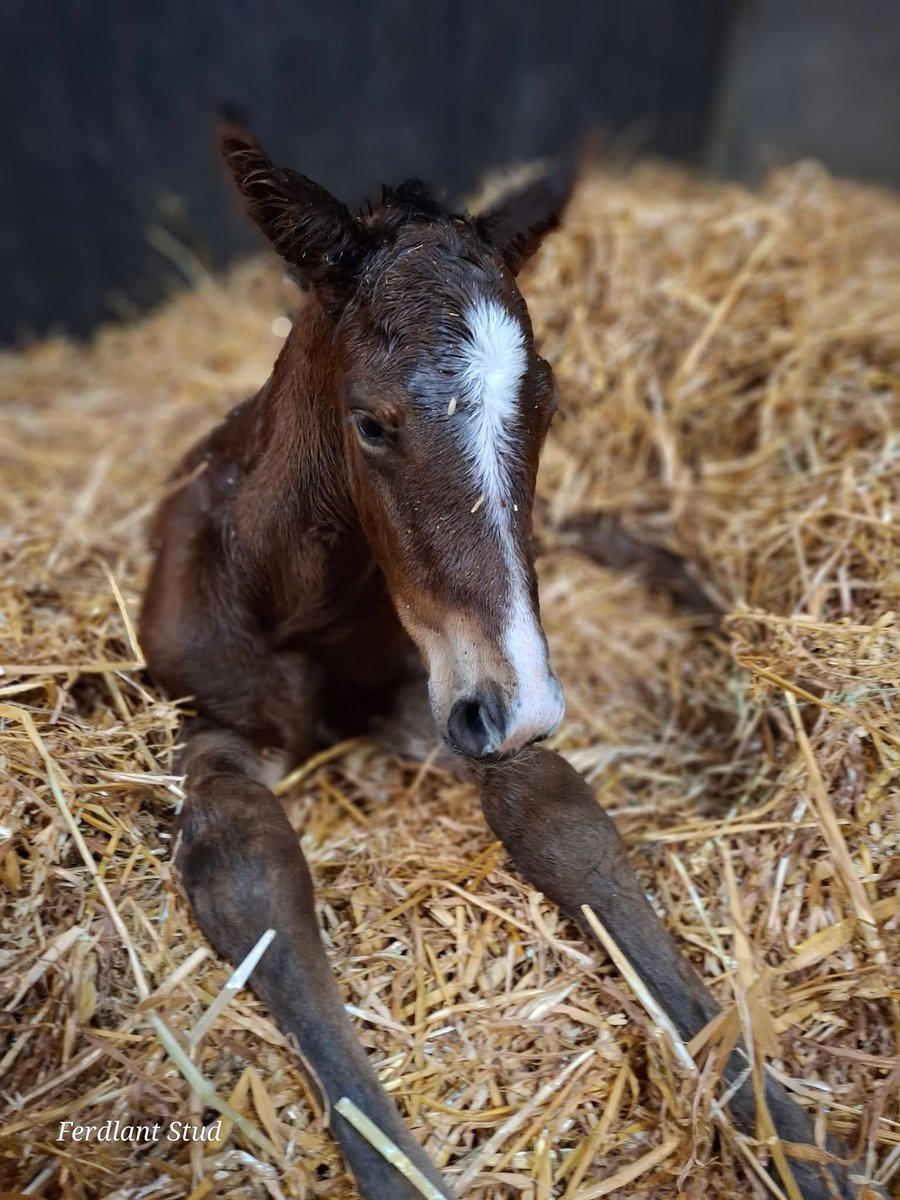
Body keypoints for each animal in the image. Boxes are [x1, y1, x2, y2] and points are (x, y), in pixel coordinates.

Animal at [138, 128, 874, 1200]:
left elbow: (566, 827)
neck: (302, 609)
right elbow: (253, 879)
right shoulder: (213, 732)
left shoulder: (449, 699)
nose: (516, 702)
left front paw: (797, 1146)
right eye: (370, 422)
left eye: (549, 404)